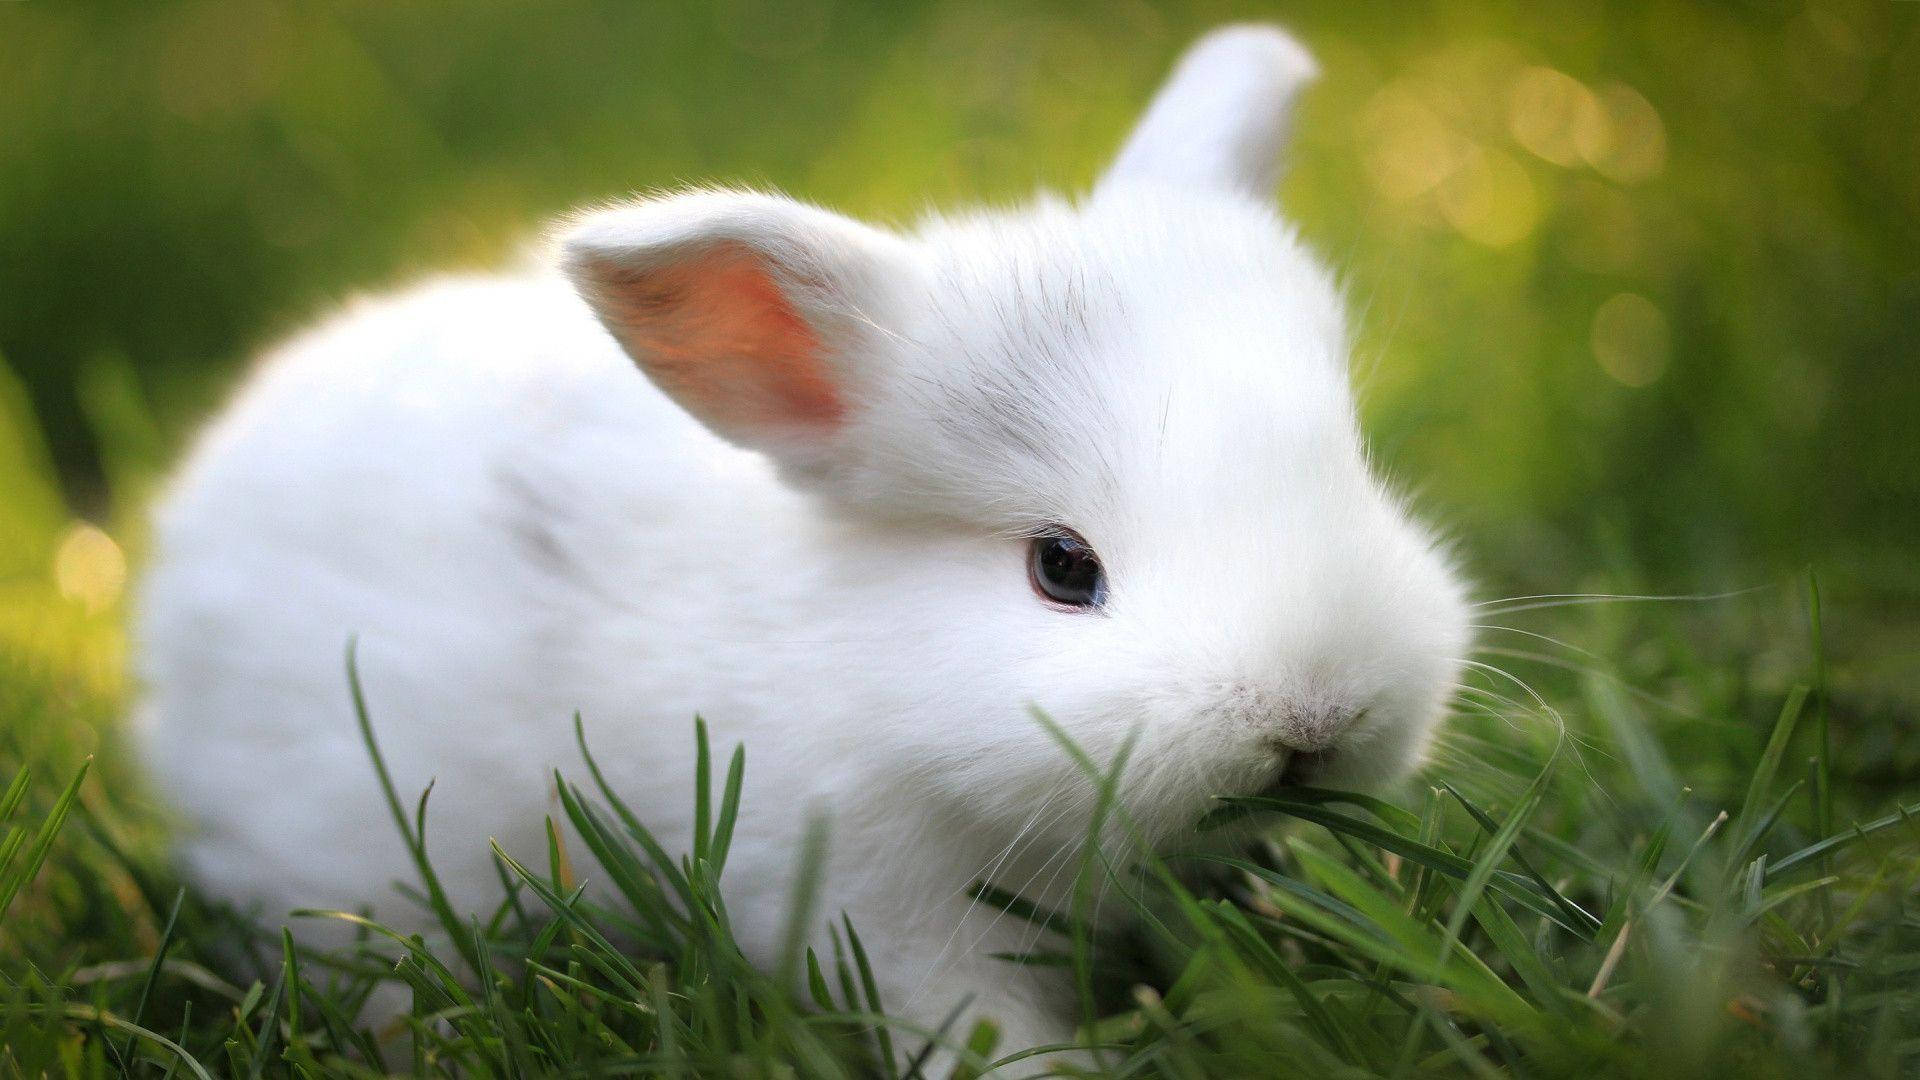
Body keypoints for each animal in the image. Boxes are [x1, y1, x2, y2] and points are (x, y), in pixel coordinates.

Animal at [135, 23, 1466, 1060]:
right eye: (1061, 567)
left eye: (1352, 468)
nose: (1315, 718)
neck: (868, 668)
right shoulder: (873, 908)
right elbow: (969, 1023)